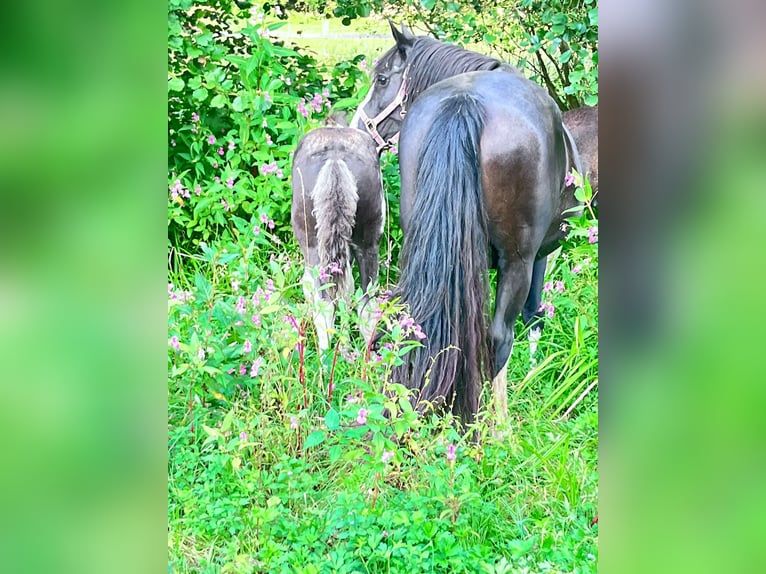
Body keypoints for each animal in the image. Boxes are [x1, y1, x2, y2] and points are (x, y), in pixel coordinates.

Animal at [354, 22, 584, 426]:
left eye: (381, 79)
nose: (355, 128)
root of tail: (464, 102)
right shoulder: (537, 256)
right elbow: (533, 316)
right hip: (517, 261)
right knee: (498, 339)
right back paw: (496, 428)